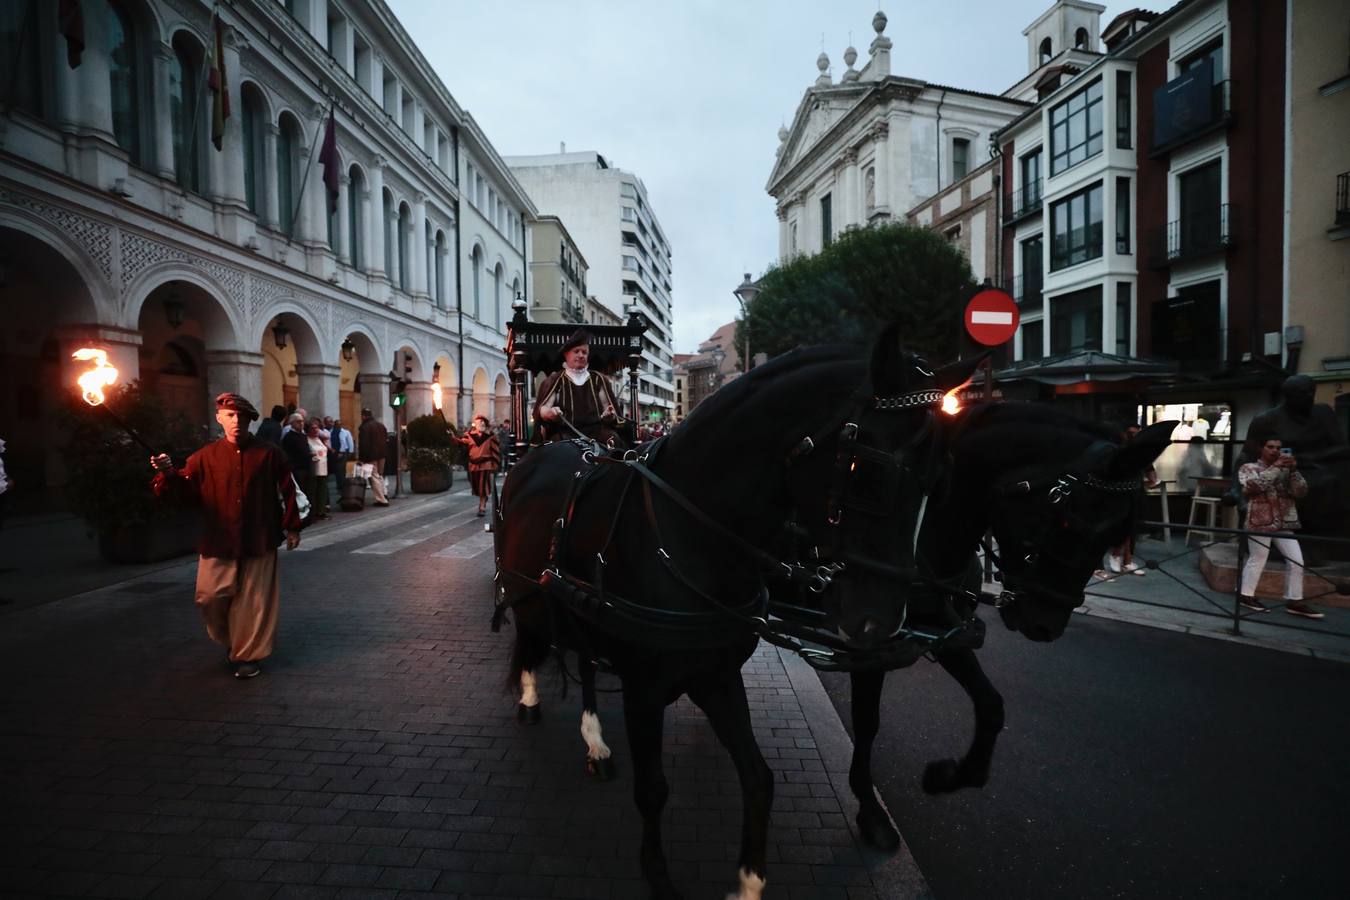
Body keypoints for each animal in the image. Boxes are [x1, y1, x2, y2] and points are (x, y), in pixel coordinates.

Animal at [491, 333, 977, 900]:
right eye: (871, 472)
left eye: (940, 480)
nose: (880, 622)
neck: (686, 533)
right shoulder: (644, 689)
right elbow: (652, 789)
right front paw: (658, 876)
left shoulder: (716, 674)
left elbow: (758, 778)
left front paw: (748, 880)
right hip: (525, 591)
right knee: (530, 637)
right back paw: (530, 695)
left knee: (585, 660)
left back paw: (595, 740)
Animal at [847, 402, 1177, 852]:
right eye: (1068, 523)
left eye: (1117, 533)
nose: (1046, 625)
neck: (923, 538)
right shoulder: (864, 644)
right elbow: (867, 722)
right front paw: (870, 808)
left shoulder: (946, 632)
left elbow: (991, 706)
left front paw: (950, 775)